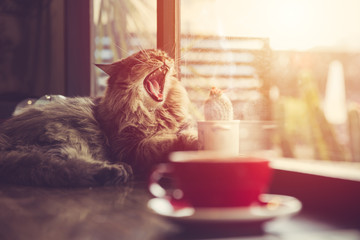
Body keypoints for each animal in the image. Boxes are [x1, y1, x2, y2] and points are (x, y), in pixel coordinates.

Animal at [0, 49, 197, 188]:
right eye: (147, 57)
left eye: (164, 55)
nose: (165, 58)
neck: (155, 114)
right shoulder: (130, 148)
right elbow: (164, 143)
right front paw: (191, 142)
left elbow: (184, 129)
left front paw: (191, 136)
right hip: (67, 138)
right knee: (59, 168)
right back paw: (115, 171)